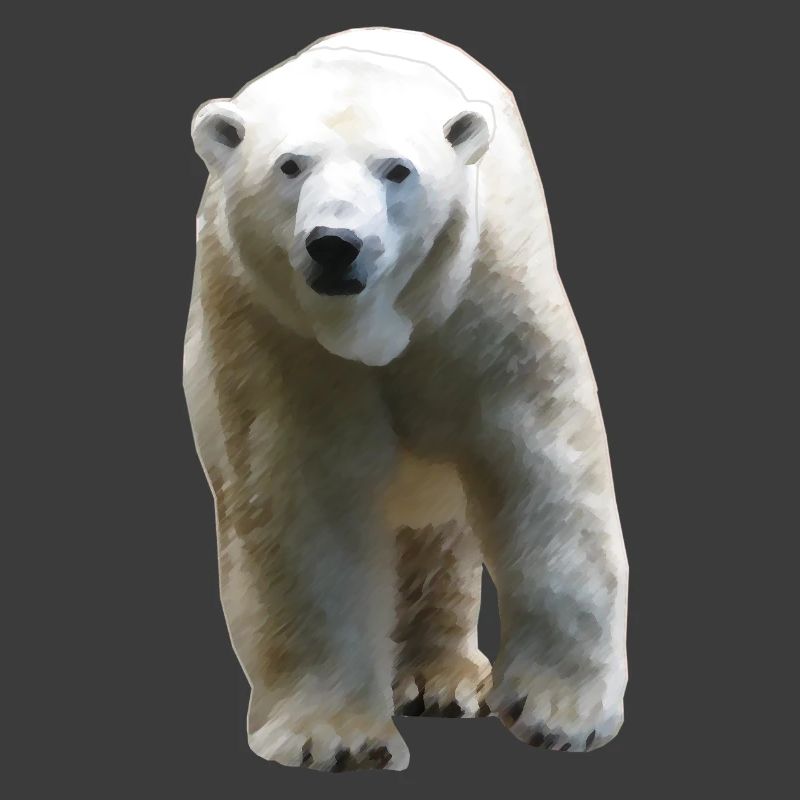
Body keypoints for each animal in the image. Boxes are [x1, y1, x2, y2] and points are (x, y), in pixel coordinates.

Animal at [184, 27, 629, 772]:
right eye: (290, 165)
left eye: (396, 170)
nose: (335, 245)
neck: (375, 326)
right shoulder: (271, 331)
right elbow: (299, 500)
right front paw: (334, 736)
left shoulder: (486, 301)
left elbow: (542, 468)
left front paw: (561, 714)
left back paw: (442, 681)